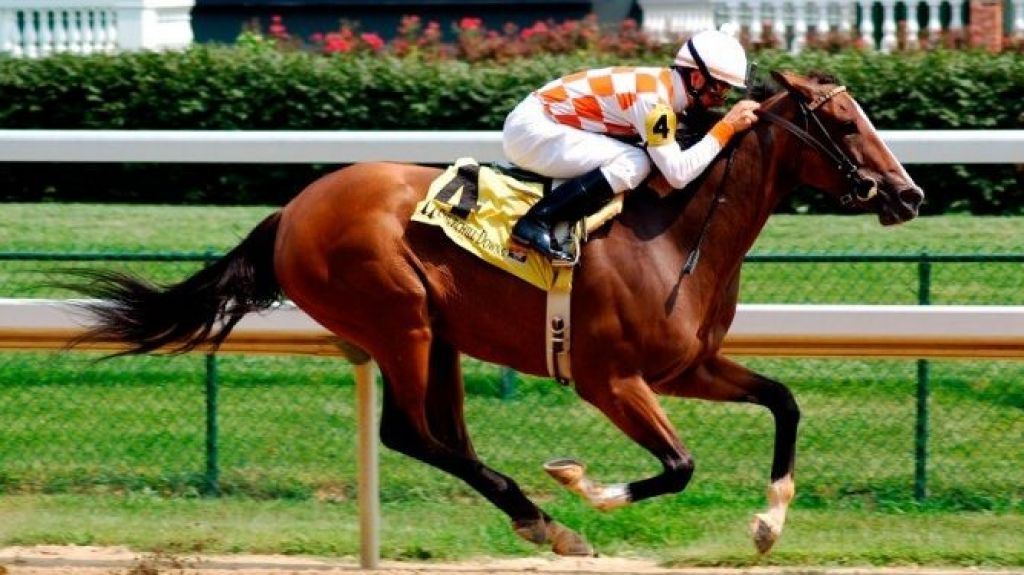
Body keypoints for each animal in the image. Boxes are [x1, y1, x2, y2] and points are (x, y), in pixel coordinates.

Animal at [70, 71, 924, 556]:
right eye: (844, 122)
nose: (909, 192)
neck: (678, 230)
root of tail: (292, 209)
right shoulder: (611, 379)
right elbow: (679, 465)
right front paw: (584, 484)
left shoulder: (686, 366)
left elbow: (784, 400)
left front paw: (769, 522)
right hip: (399, 320)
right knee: (410, 433)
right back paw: (551, 521)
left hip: (439, 334)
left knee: (445, 435)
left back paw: (536, 519)